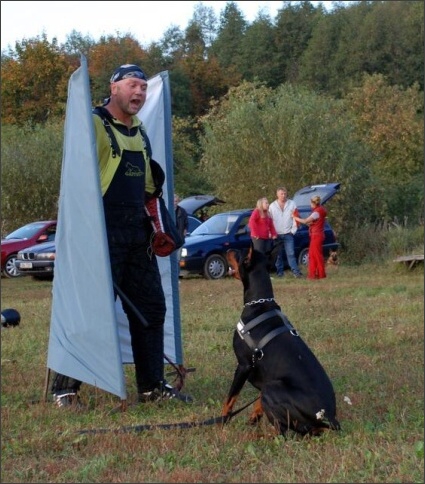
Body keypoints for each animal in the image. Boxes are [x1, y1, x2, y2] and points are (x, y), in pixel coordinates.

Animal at [224, 248, 340, 436]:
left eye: (239, 254)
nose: (228, 248)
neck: (260, 303)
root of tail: (328, 417)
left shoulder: (243, 366)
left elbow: (229, 400)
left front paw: (221, 423)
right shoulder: (264, 376)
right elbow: (258, 402)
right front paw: (254, 417)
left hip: (273, 388)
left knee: (286, 433)